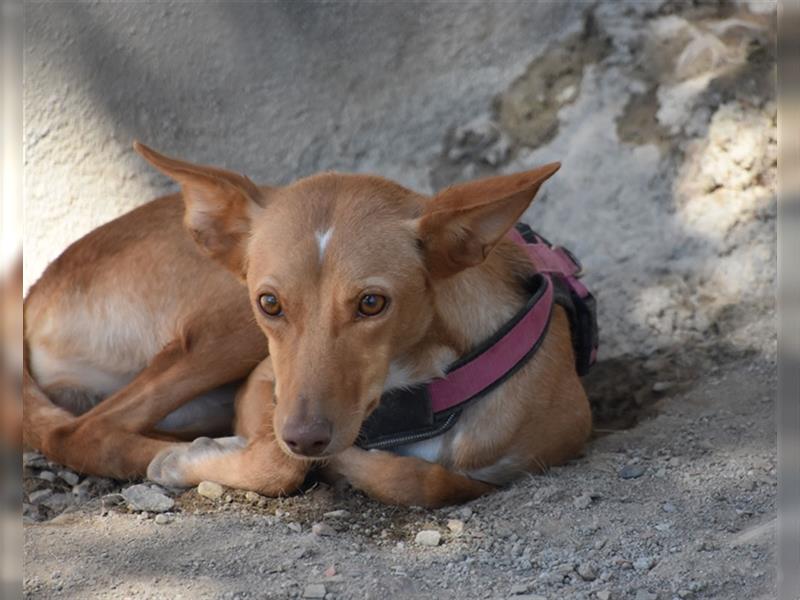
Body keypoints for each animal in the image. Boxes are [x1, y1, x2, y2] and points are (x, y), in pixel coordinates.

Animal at [23, 144, 592, 506]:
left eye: (371, 303)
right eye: (271, 303)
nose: (306, 438)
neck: (421, 390)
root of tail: (38, 288)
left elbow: (434, 483)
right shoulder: (264, 384)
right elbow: (280, 464)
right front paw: (193, 460)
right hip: (228, 328)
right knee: (83, 431)